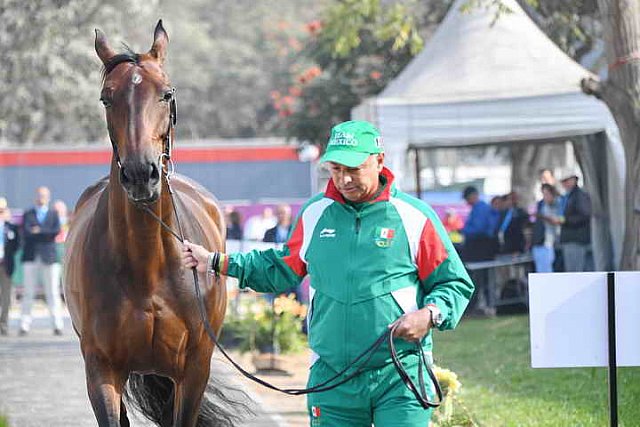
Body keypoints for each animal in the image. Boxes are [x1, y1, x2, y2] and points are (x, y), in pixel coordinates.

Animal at [64, 20, 240, 427]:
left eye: (166, 94)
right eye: (106, 98)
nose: (141, 175)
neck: (148, 267)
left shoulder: (193, 372)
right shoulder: (101, 371)